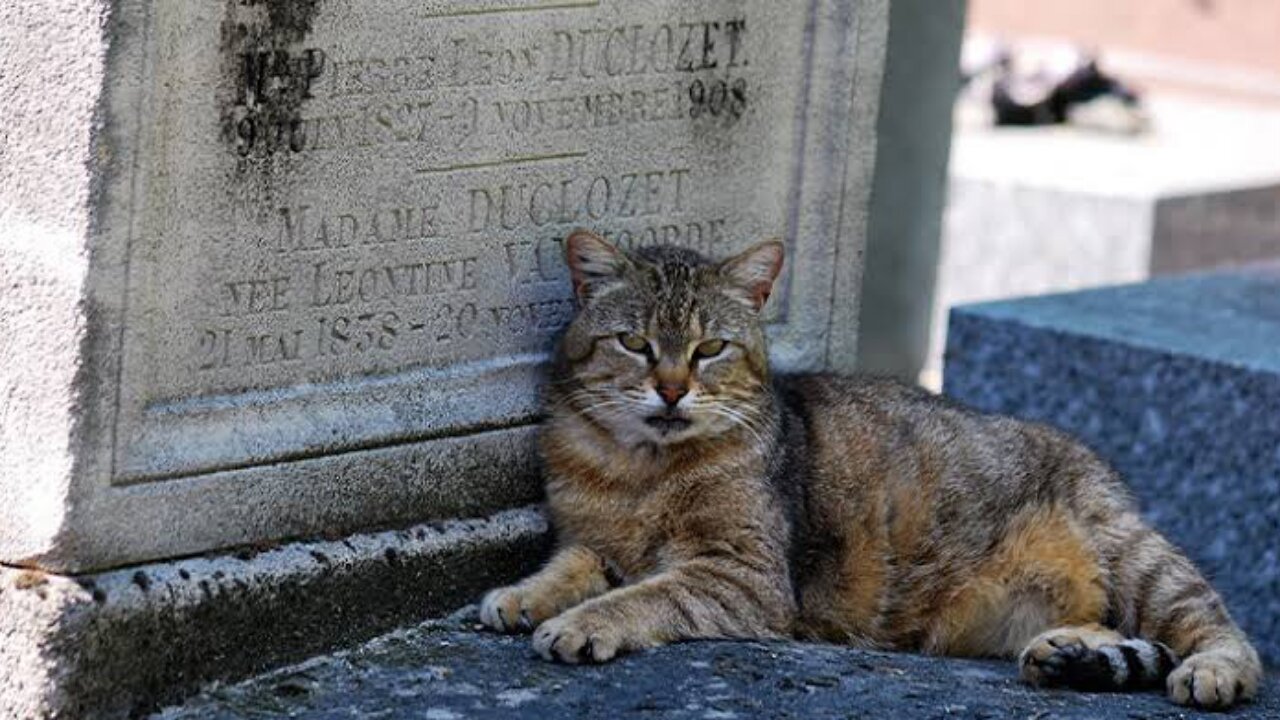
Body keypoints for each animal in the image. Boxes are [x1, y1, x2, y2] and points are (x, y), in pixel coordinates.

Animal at [481, 228, 1259, 707]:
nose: (672, 390)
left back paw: (1212, 671)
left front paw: (582, 624)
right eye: (635, 343)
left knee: (1223, 632)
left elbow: (645, 596)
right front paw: (522, 595)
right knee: (1105, 629)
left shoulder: (742, 576)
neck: (638, 471)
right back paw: (1068, 654)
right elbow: (570, 566)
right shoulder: (593, 540)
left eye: (710, 350)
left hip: (1136, 556)